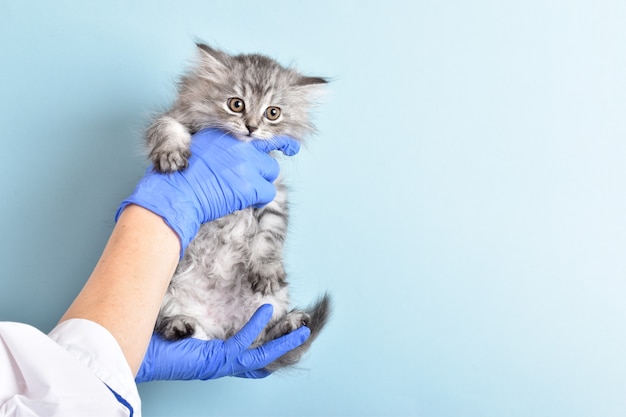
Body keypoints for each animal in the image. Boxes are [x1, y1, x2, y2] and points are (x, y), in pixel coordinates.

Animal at [147, 44, 332, 370]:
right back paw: (181, 327)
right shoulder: (174, 118)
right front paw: (171, 153)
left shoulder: (274, 195)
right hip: (163, 293)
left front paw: (266, 268)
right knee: (195, 339)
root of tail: (219, 325)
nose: (251, 127)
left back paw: (290, 324)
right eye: (236, 104)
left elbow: (270, 237)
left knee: (254, 340)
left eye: (273, 113)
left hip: (271, 302)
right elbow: (167, 125)